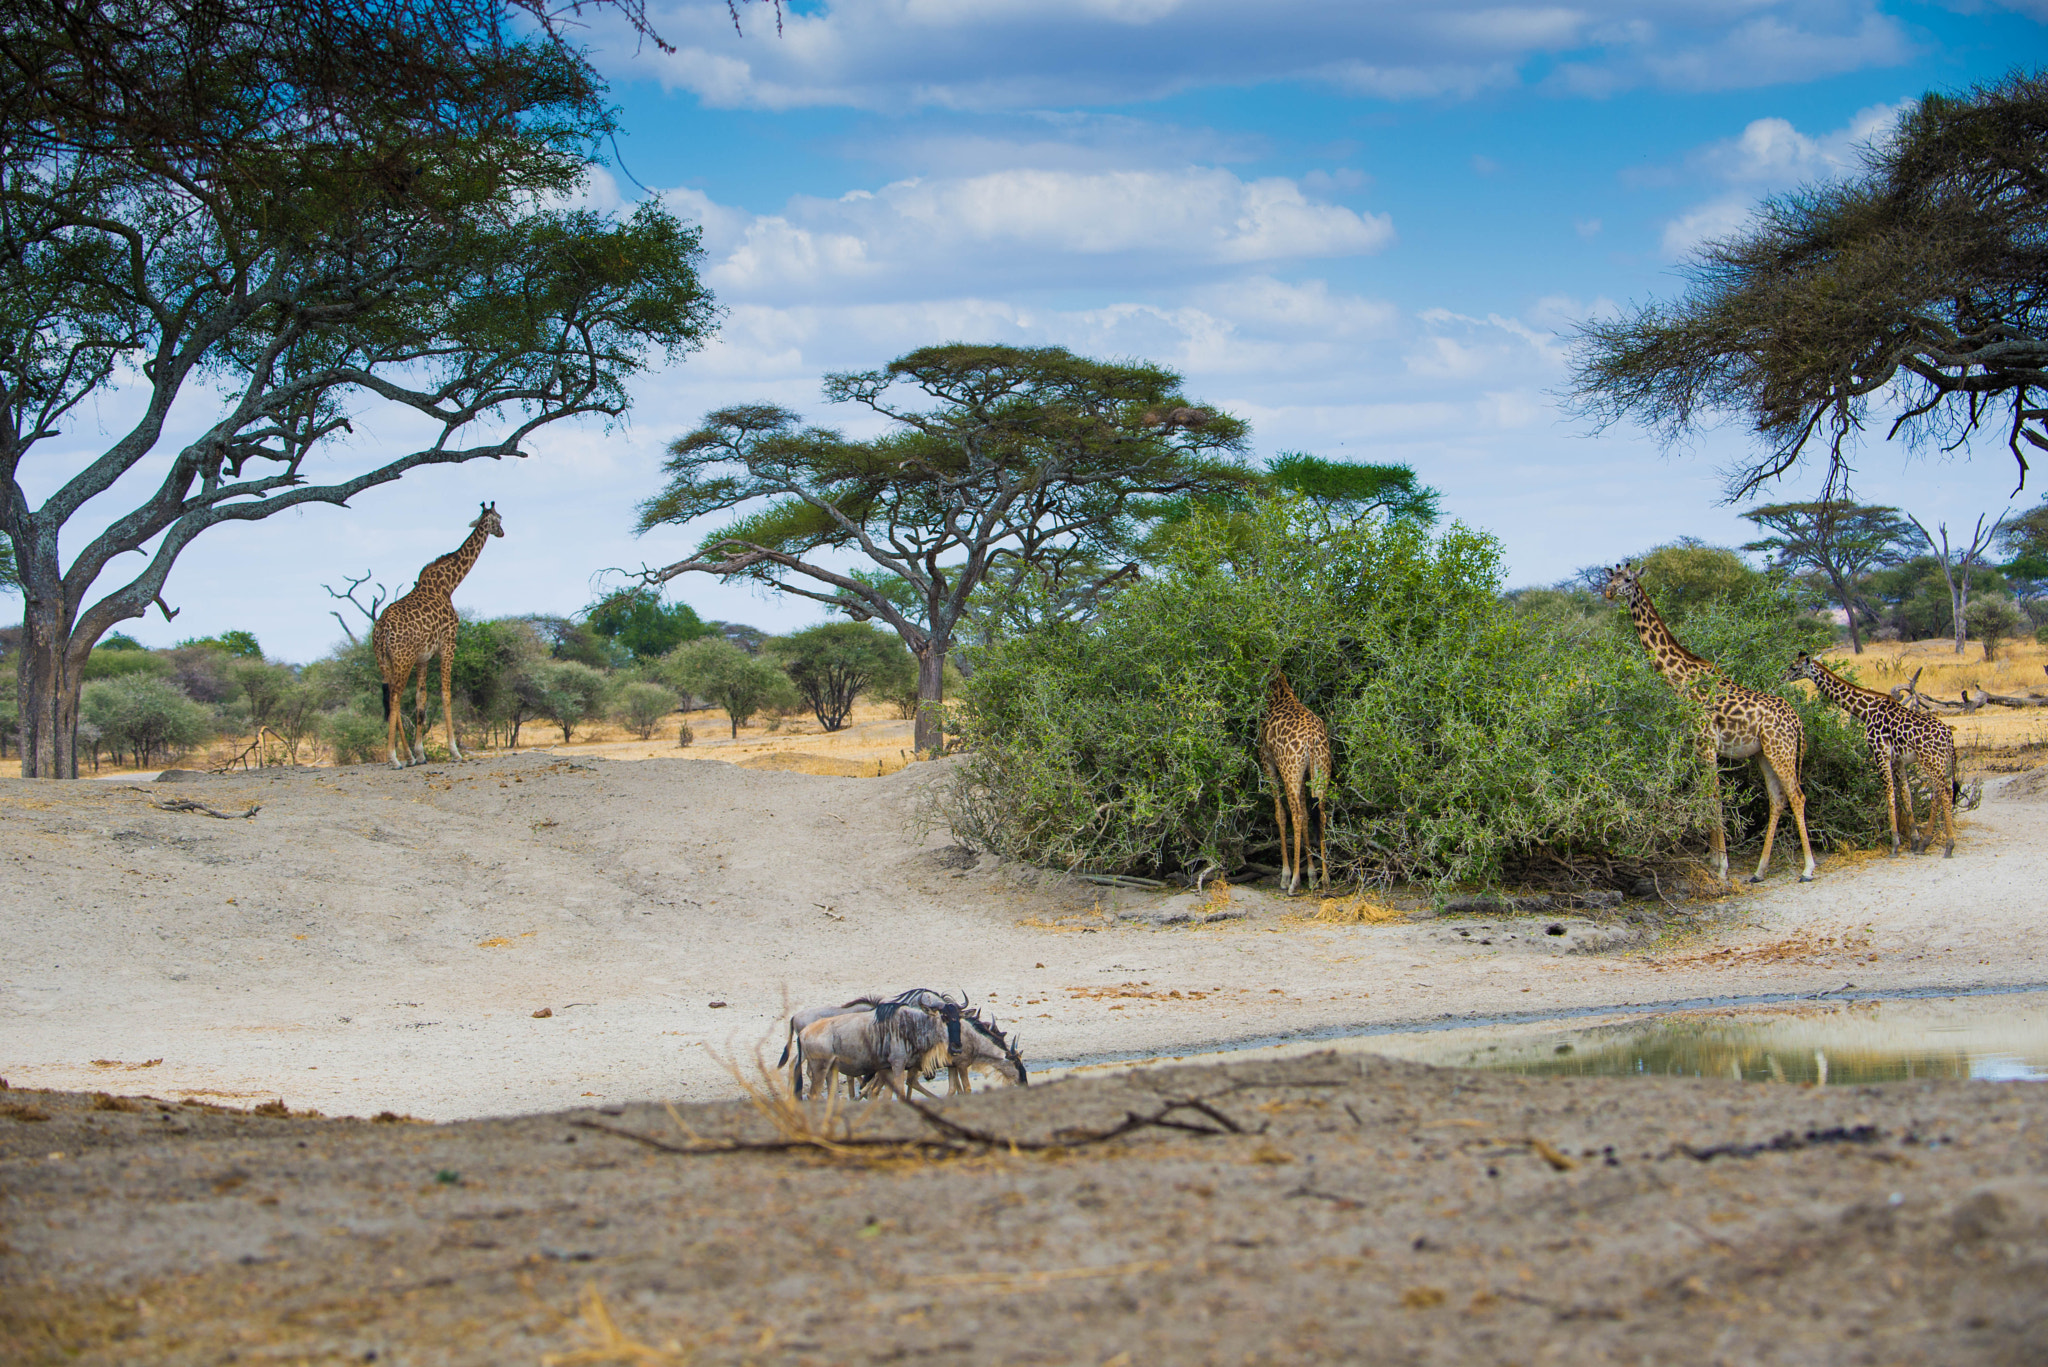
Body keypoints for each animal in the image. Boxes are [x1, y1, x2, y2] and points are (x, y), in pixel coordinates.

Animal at [371, 503, 504, 769]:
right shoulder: (449, 643)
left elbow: (420, 699)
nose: (502, 533)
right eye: (499, 519)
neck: (449, 584)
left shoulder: (423, 656)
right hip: (402, 659)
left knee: (392, 696)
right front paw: (454, 751)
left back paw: (408, 757)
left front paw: (421, 753)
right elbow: (446, 693)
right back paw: (394, 758)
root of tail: (381, 630)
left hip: (385, 660)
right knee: (395, 697)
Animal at [1256, 670, 1332, 896]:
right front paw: (1313, 876)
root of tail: (1312, 740)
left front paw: (1286, 875)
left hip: (1290, 770)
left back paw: (1294, 882)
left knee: (1295, 815)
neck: (1278, 692)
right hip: (1320, 770)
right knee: (1320, 815)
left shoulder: (1268, 761)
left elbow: (1280, 814)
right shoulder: (1305, 774)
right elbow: (1308, 815)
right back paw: (1325, 880)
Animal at [1602, 563, 1816, 884]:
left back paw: (1807, 869)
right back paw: (1759, 871)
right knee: (1777, 799)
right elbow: (1706, 796)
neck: (1680, 680)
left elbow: (1714, 798)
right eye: (1610, 578)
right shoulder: (1697, 746)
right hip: (1764, 754)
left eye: (1628, 579)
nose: (1609, 592)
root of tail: (1798, 721)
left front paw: (1722, 867)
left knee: (1797, 796)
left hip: (1782, 751)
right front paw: (1714, 860)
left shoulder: (1707, 744)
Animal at [1784, 651, 1958, 858]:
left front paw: (1895, 845)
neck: (1865, 711)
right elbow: (1905, 796)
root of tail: (1949, 736)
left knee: (1944, 793)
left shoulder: (1880, 754)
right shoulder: (1897, 760)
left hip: (1931, 761)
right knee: (1939, 794)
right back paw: (1925, 843)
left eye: (1794, 667)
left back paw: (1949, 846)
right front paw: (1914, 841)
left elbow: (1889, 795)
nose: (1782, 677)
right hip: (1939, 763)